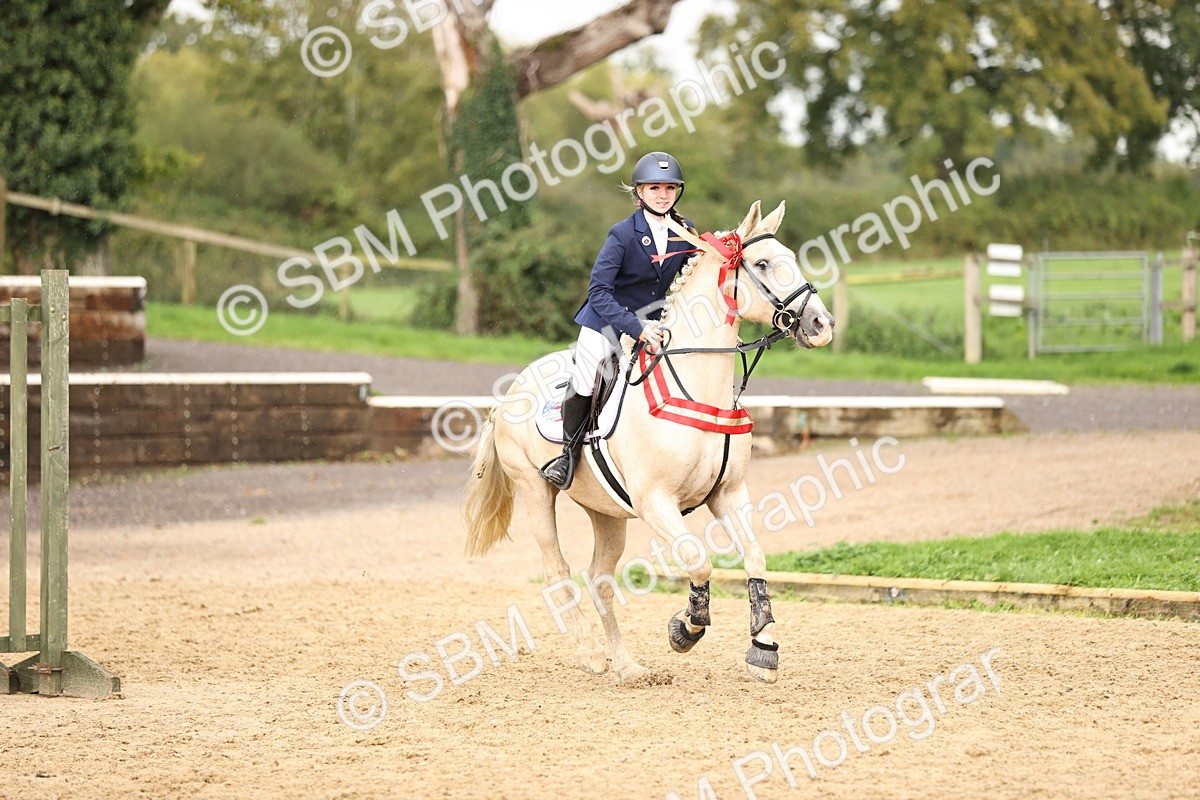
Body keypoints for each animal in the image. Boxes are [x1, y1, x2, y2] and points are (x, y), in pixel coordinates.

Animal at [462, 200, 835, 684]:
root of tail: (508, 392)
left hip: (605, 510)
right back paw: (591, 655)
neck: (699, 386)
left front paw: (763, 648)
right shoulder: (657, 502)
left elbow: (754, 557)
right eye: (762, 264)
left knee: (599, 578)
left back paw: (627, 666)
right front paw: (686, 629)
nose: (821, 325)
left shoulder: (729, 494)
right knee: (557, 569)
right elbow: (698, 560)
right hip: (535, 488)